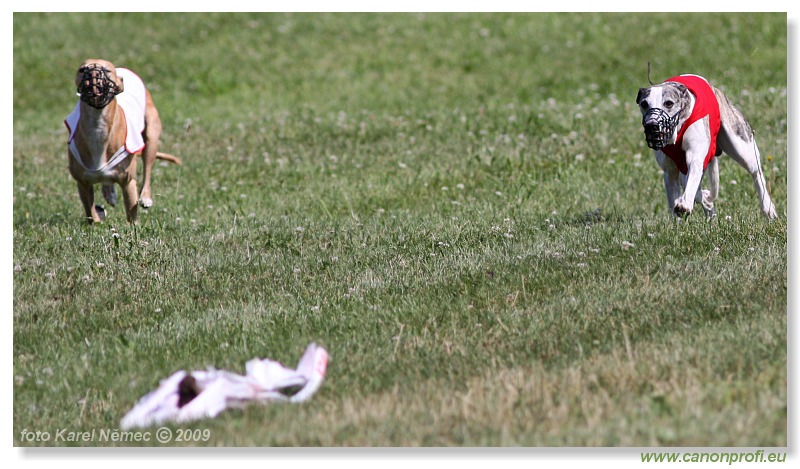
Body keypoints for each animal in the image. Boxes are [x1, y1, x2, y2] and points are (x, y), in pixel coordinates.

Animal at [65, 59, 181, 223]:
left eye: (107, 71)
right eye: (82, 69)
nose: (93, 73)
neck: (98, 126)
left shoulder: (128, 182)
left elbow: (132, 215)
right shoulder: (82, 183)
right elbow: (91, 212)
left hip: (151, 135)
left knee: (147, 169)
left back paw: (145, 197)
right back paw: (110, 193)